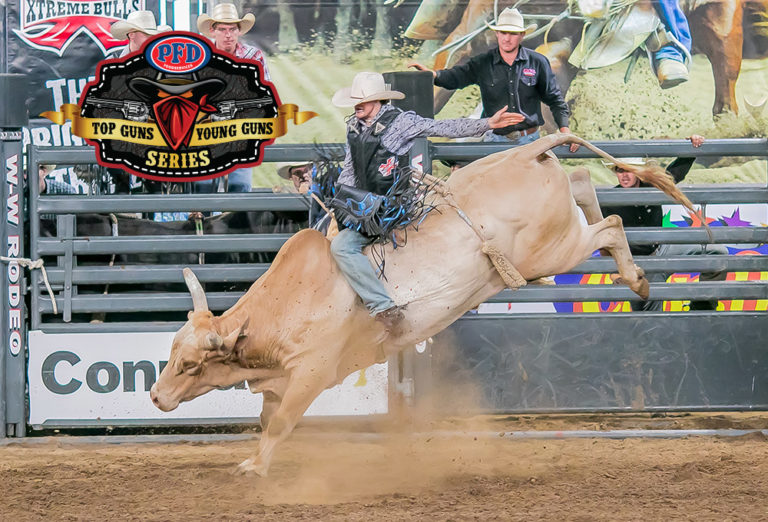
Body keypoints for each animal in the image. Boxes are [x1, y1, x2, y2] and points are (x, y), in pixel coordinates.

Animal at [150, 132, 704, 474]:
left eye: (191, 364)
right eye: (171, 353)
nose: (155, 396)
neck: (287, 304)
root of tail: (530, 150)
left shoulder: (312, 371)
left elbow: (284, 422)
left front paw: (255, 467)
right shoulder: (280, 380)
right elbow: (269, 421)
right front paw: (257, 457)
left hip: (552, 252)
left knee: (609, 226)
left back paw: (639, 282)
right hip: (560, 228)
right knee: (586, 185)